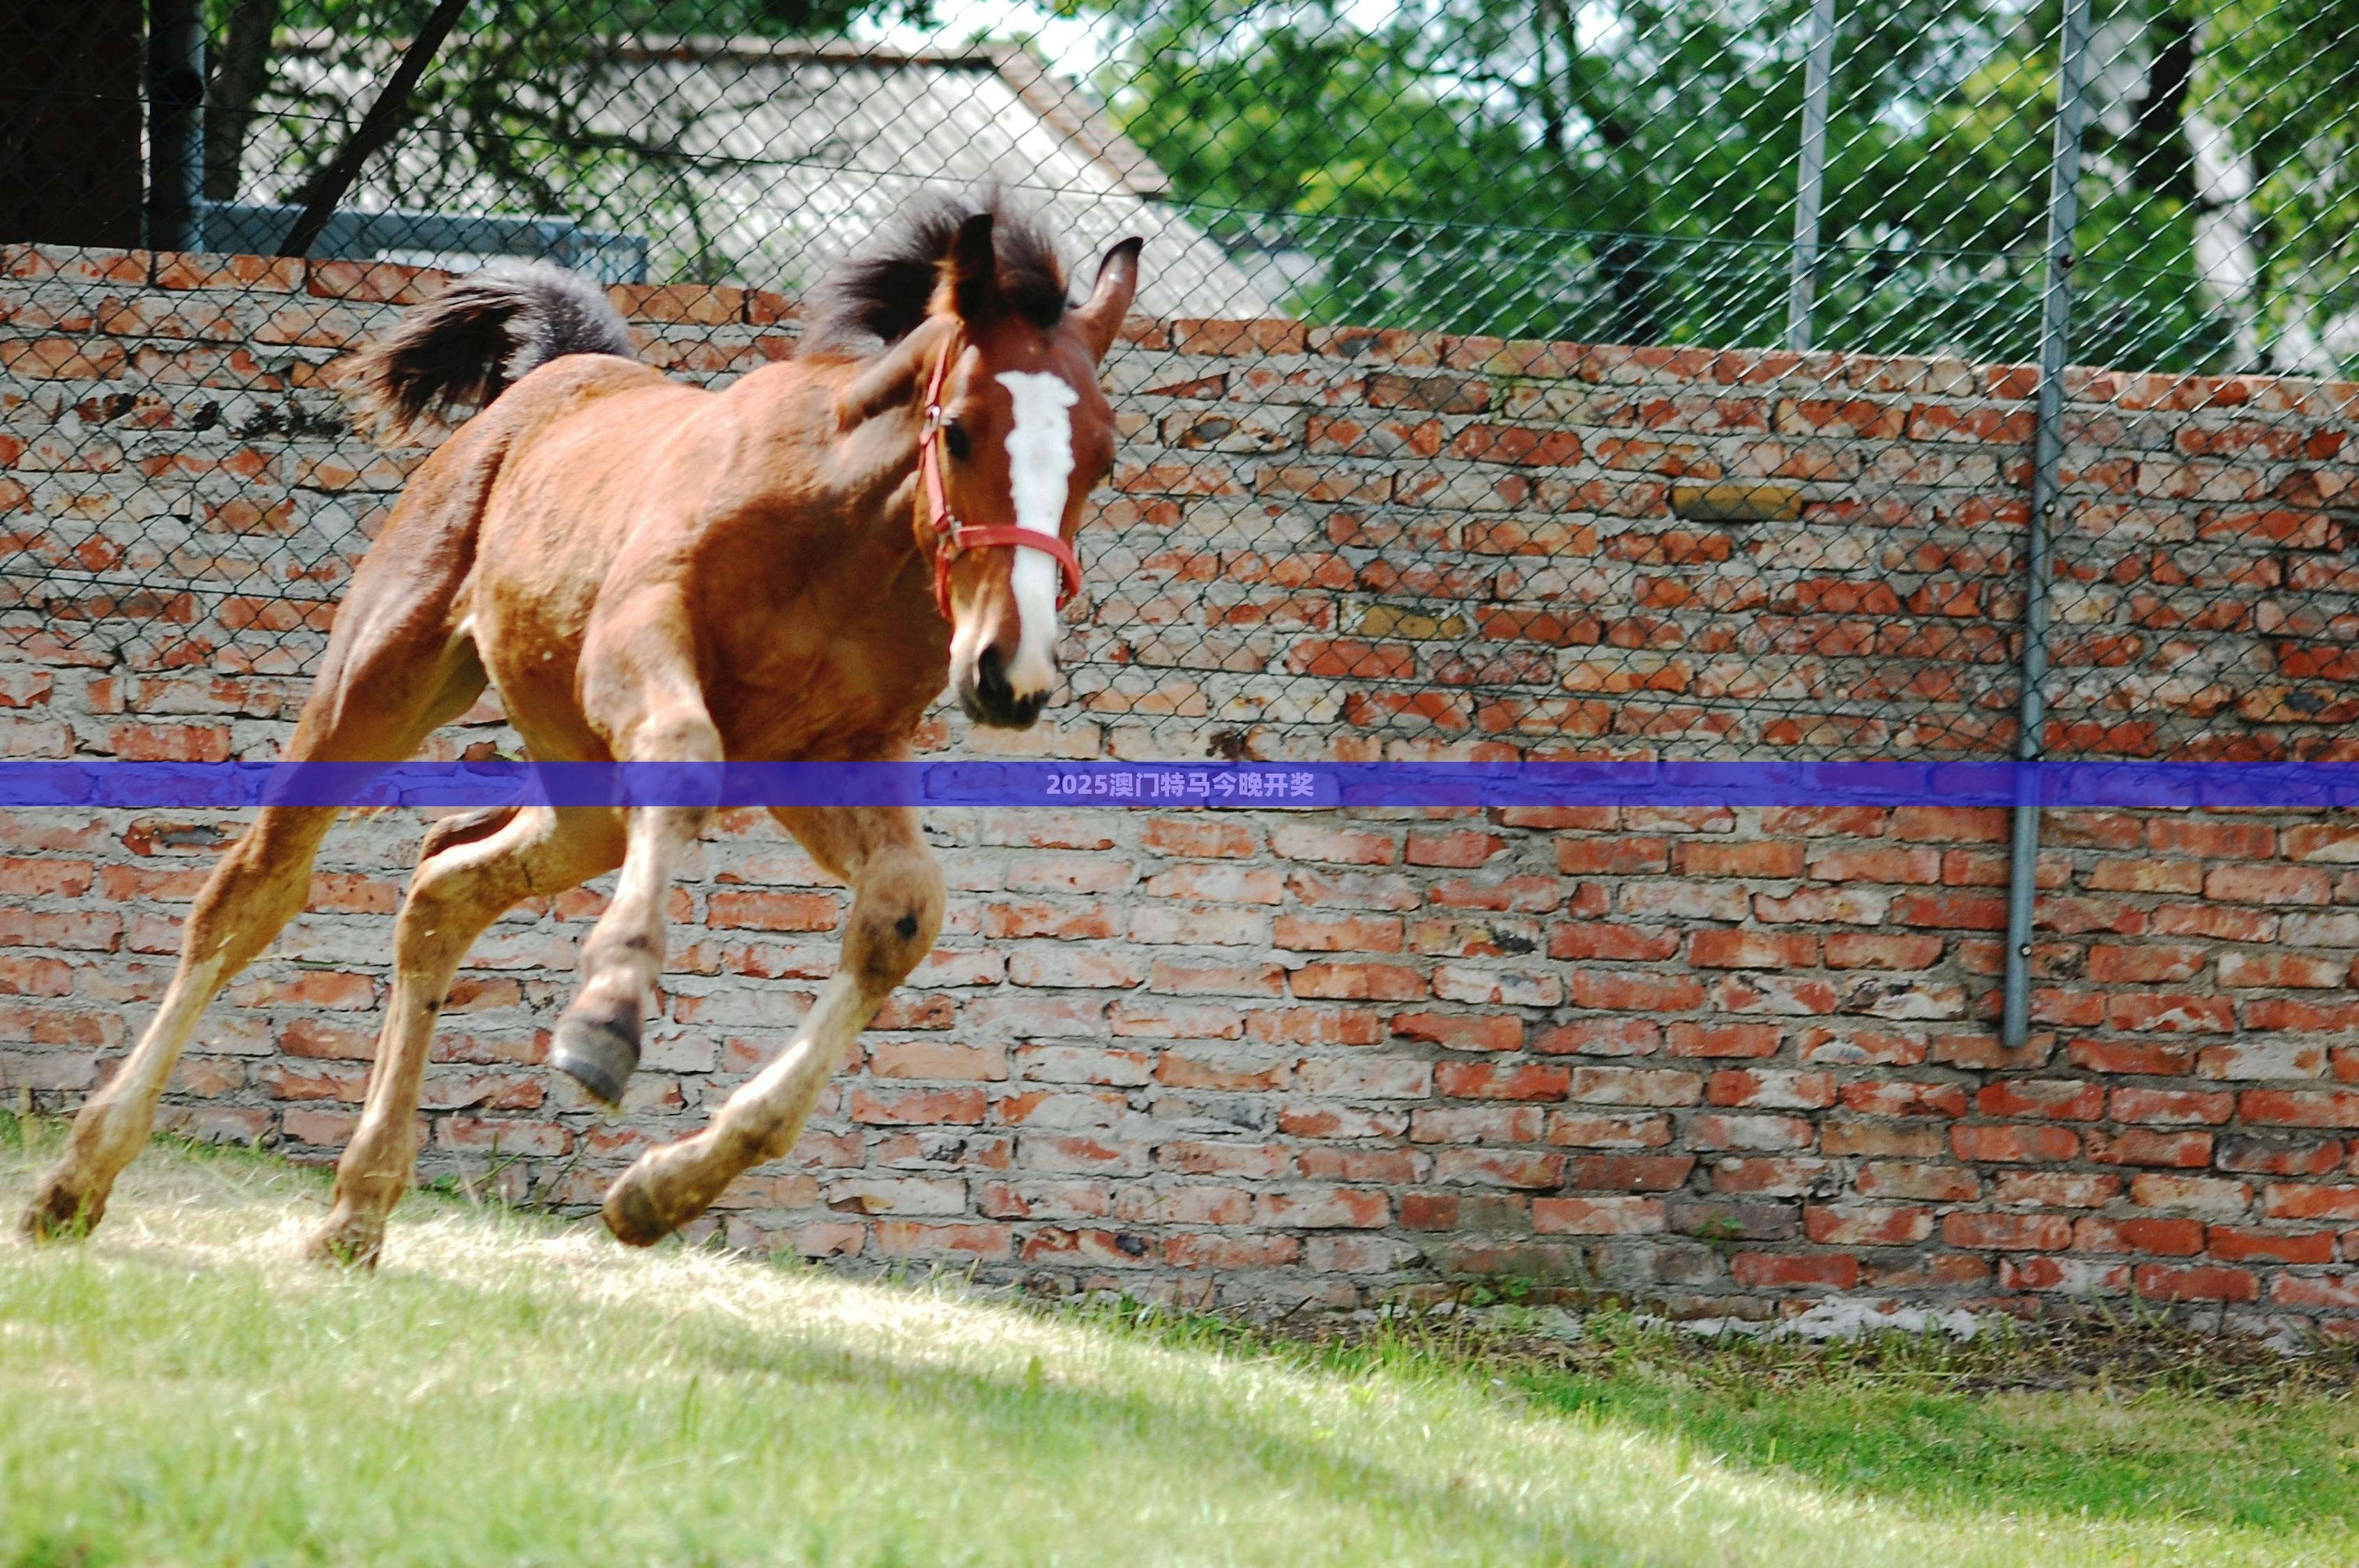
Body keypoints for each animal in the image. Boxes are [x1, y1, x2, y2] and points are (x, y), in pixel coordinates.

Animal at [20, 199, 1141, 1273]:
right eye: (959, 429)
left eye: (1102, 456)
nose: (1010, 672)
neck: (841, 540)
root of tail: (552, 374)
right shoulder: (638, 653)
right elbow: (688, 762)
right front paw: (605, 1025)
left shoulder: (836, 754)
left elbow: (904, 910)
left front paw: (662, 1190)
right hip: (380, 684)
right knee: (254, 890)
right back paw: (77, 1182)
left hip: (589, 795)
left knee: (444, 887)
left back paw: (357, 1210)